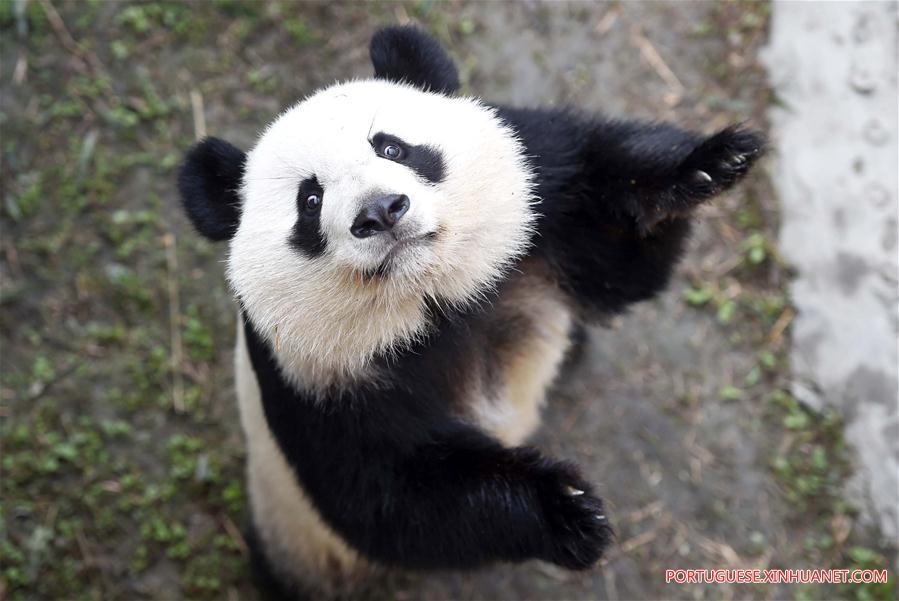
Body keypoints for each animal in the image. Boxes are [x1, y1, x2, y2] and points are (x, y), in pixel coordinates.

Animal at [178, 26, 764, 598]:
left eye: (391, 146)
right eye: (310, 201)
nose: (379, 212)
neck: (432, 298)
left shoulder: (542, 206)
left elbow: (616, 263)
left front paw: (707, 166)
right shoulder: (310, 376)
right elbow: (392, 496)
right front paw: (567, 511)